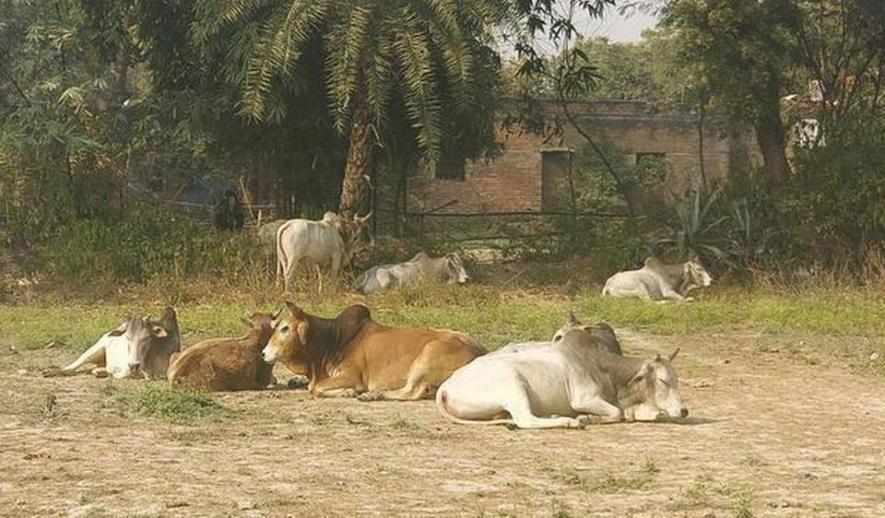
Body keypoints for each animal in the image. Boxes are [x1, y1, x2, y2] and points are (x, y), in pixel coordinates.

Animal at [261, 302, 485, 401]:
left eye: (285, 328)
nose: (263, 353)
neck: (333, 341)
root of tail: (479, 351)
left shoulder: (352, 376)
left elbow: (315, 387)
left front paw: (349, 392)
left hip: (426, 357)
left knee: (412, 392)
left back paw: (373, 395)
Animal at [435, 327, 687, 429]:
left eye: (676, 379)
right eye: (664, 381)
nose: (684, 411)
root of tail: (446, 387)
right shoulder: (584, 399)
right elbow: (617, 413)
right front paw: (587, 418)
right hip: (514, 384)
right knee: (525, 420)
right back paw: (568, 421)